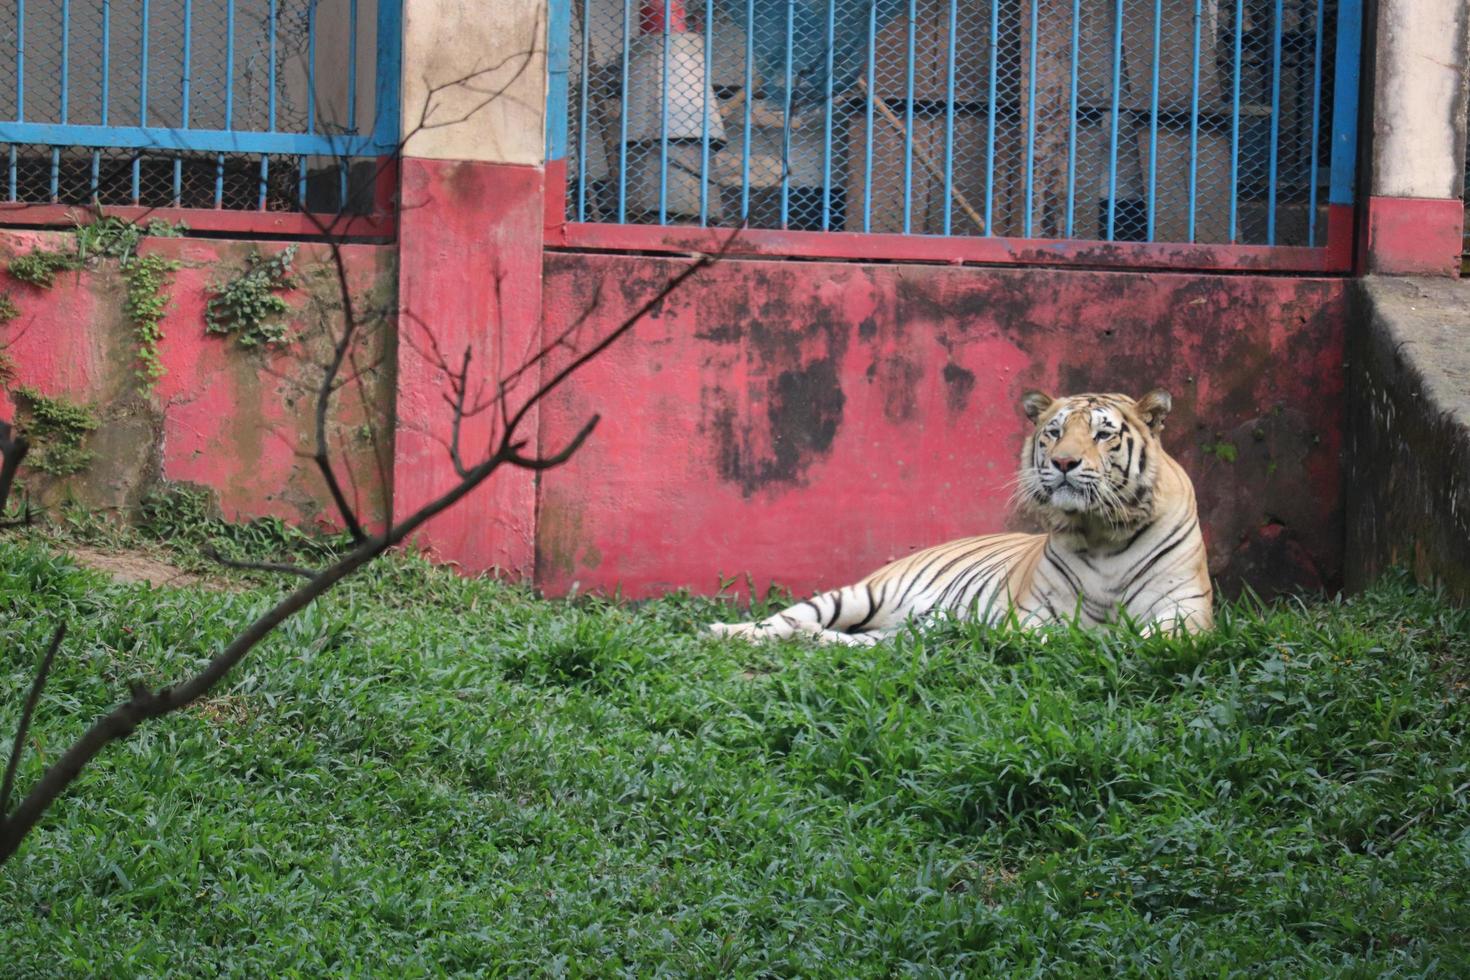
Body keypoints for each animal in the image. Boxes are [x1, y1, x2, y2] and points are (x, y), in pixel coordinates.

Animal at [705, 387, 1211, 646]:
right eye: (1053, 432)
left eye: (1103, 434)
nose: (1064, 462)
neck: (1102, 531)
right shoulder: (1032, 615)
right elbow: (1058, 636)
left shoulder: (1186, 612)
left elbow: (1150, 636)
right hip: (857, 595)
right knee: (786, 620)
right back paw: (725, 632)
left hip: (897, 629)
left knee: (868, 642)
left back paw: (819, 640)